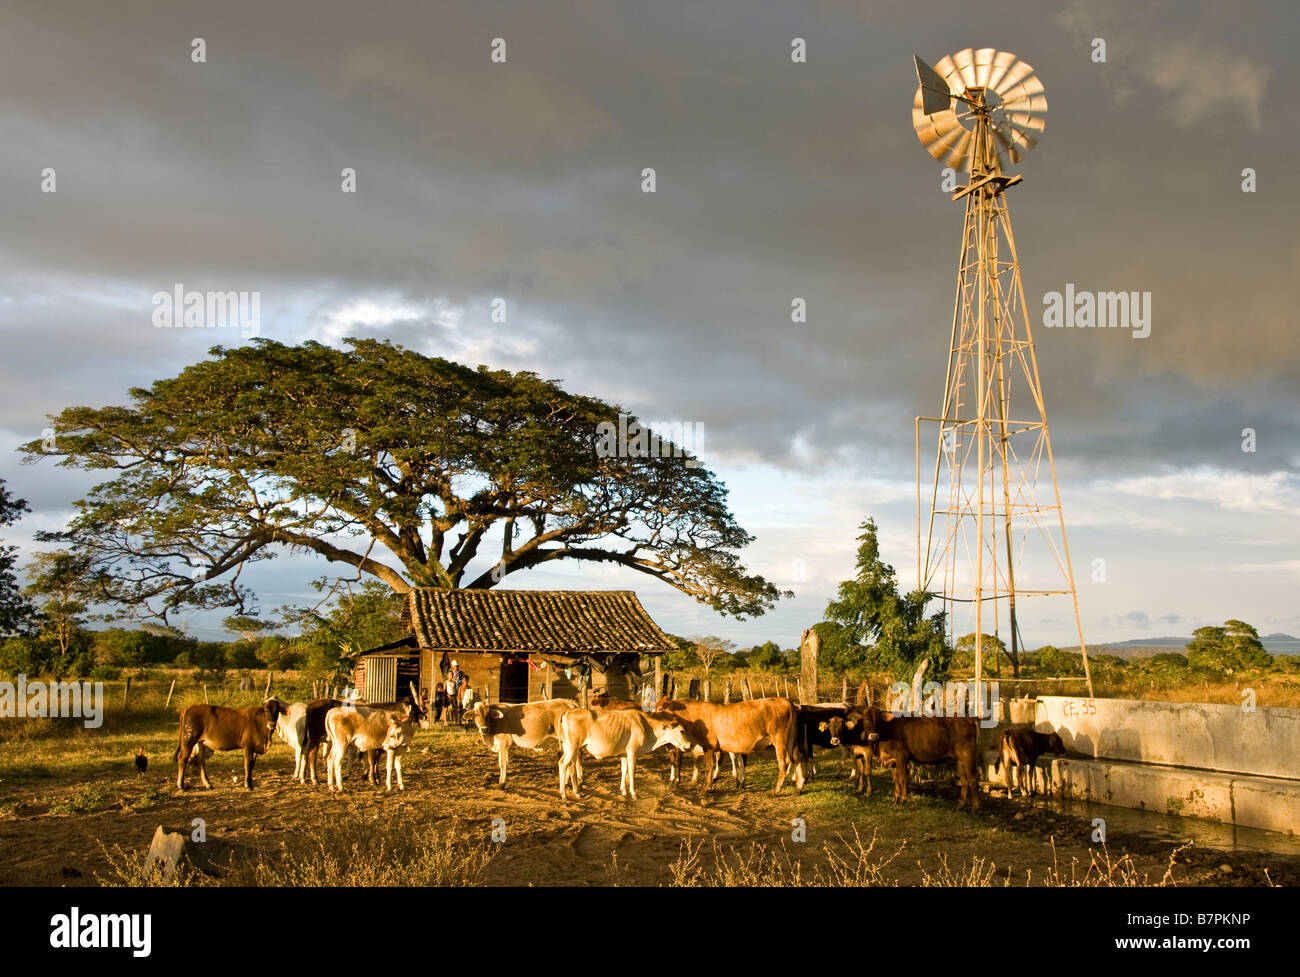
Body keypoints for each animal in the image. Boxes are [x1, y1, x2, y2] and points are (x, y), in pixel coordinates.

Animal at [561, 711, 702, 800]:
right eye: (682, 731)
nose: (689, 744)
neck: (646, 726)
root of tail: (568, 713)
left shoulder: (624, 754)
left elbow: (624, 770)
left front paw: (623, 791)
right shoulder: (632, 752)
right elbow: (632, 772)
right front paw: (634, 793)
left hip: (570, 749)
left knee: (569, 767)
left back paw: (576, 792)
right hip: (573, 747)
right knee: (563, 765)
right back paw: (564, 794)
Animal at [655, 696, 806, 795]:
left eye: (660, 708)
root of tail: (786, 700)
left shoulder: (709, 745)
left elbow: (709, 766)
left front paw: (706, 787)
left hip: (780, 740)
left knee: (784, 763)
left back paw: (776, 789)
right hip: (791, 741)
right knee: (797, 759)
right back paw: (799, 787)